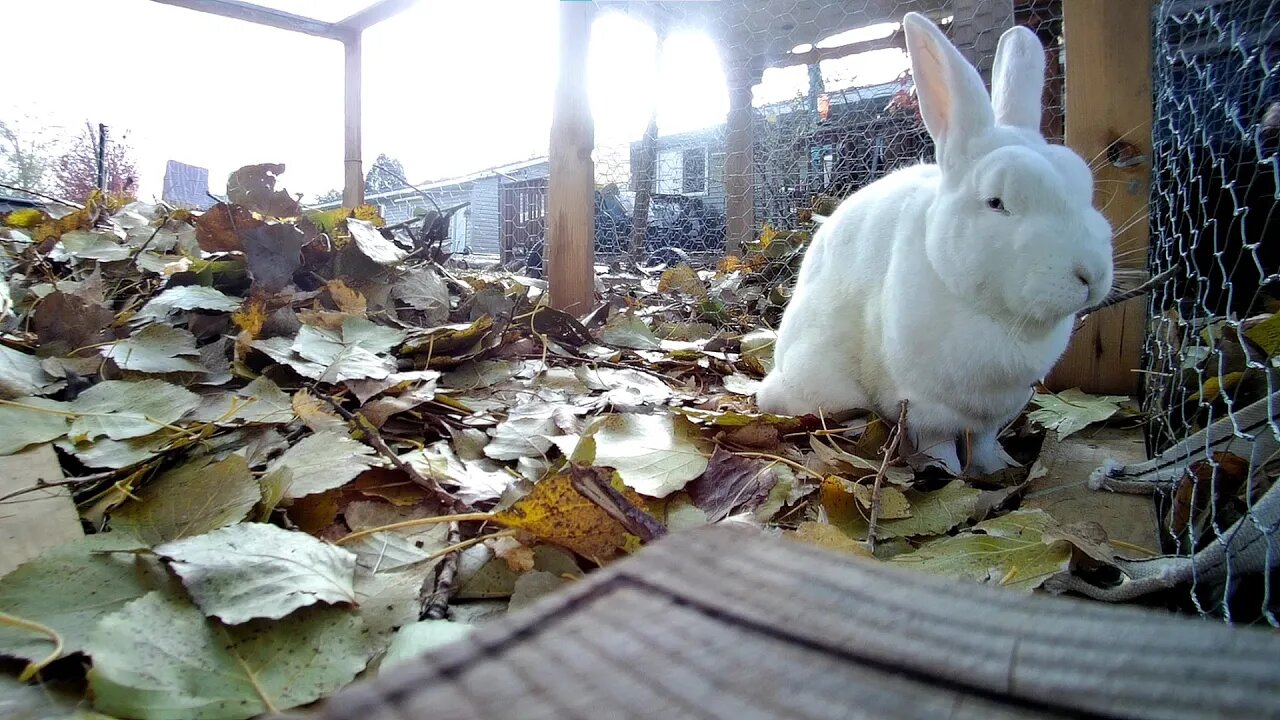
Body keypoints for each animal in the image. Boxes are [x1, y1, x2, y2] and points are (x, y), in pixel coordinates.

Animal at [752, 12, 1116, 476]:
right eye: (996, 203)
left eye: (1083, 185)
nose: (1091, 274)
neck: (994, 316)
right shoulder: (926, 405)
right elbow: (939, 445)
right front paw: (949, 475)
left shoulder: (996, 411)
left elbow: (984, 443)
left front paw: (996, 470)